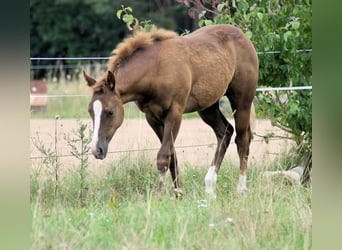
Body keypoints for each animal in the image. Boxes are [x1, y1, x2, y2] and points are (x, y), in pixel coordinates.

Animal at [84, 24, 258, 198]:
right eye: (90, 111)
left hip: (242, 103)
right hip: (208, 107)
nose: (96, 150)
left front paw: (159, 196)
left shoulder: (174, 114)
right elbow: (172, 156)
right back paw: (210, 188)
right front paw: (179, 194)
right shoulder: (152, 118)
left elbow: (163, 156)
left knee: (242, 140)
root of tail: (243, 36)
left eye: (110, 112)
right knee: (225, 132)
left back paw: (241, 189)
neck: (155, 70)